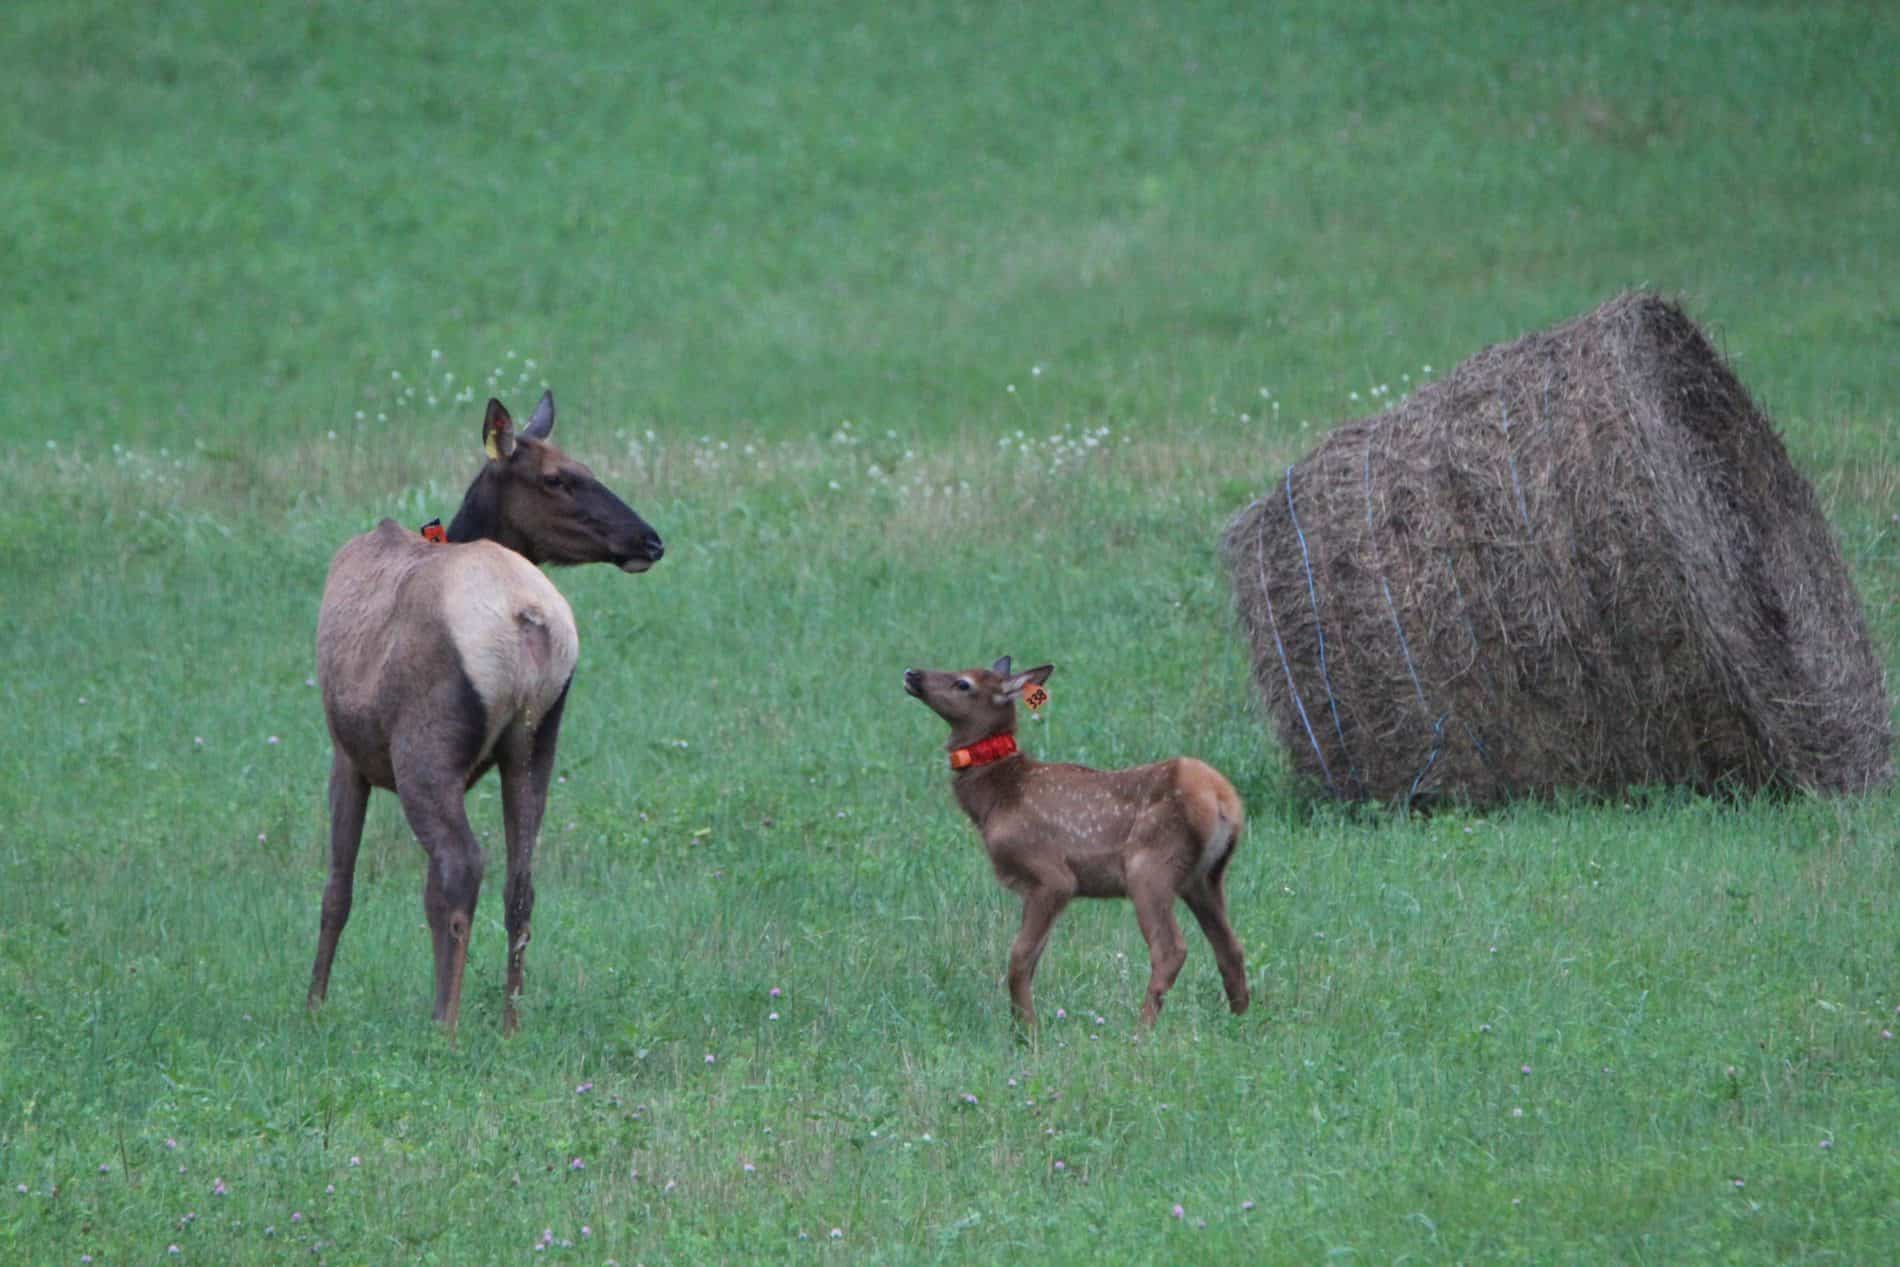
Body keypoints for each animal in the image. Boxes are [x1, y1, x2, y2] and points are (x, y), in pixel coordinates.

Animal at [307, 391, 663, 1035]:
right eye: (558, 477)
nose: (650, 541)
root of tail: (528, 619)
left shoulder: (347, 752)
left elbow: (337, 889)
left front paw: (313, 1006)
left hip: (424, 747)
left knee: (461, 866)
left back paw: (444, 1027)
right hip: (536, 741)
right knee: (520, 883)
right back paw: (509, 1024)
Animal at [903, 657, 1250, 1032]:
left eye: (963, 683)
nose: (912, 673)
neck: (996, 800)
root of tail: (1223, 800)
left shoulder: (1051, 875)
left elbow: (1018, 958)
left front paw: (1027, 1031)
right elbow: (1032, 960)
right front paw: (1021, 1027)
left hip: (1150, 866)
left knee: (1170, 949)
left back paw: (1141, 1031)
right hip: (1204, 879)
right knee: (1230, 947)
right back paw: (1240, 1022)